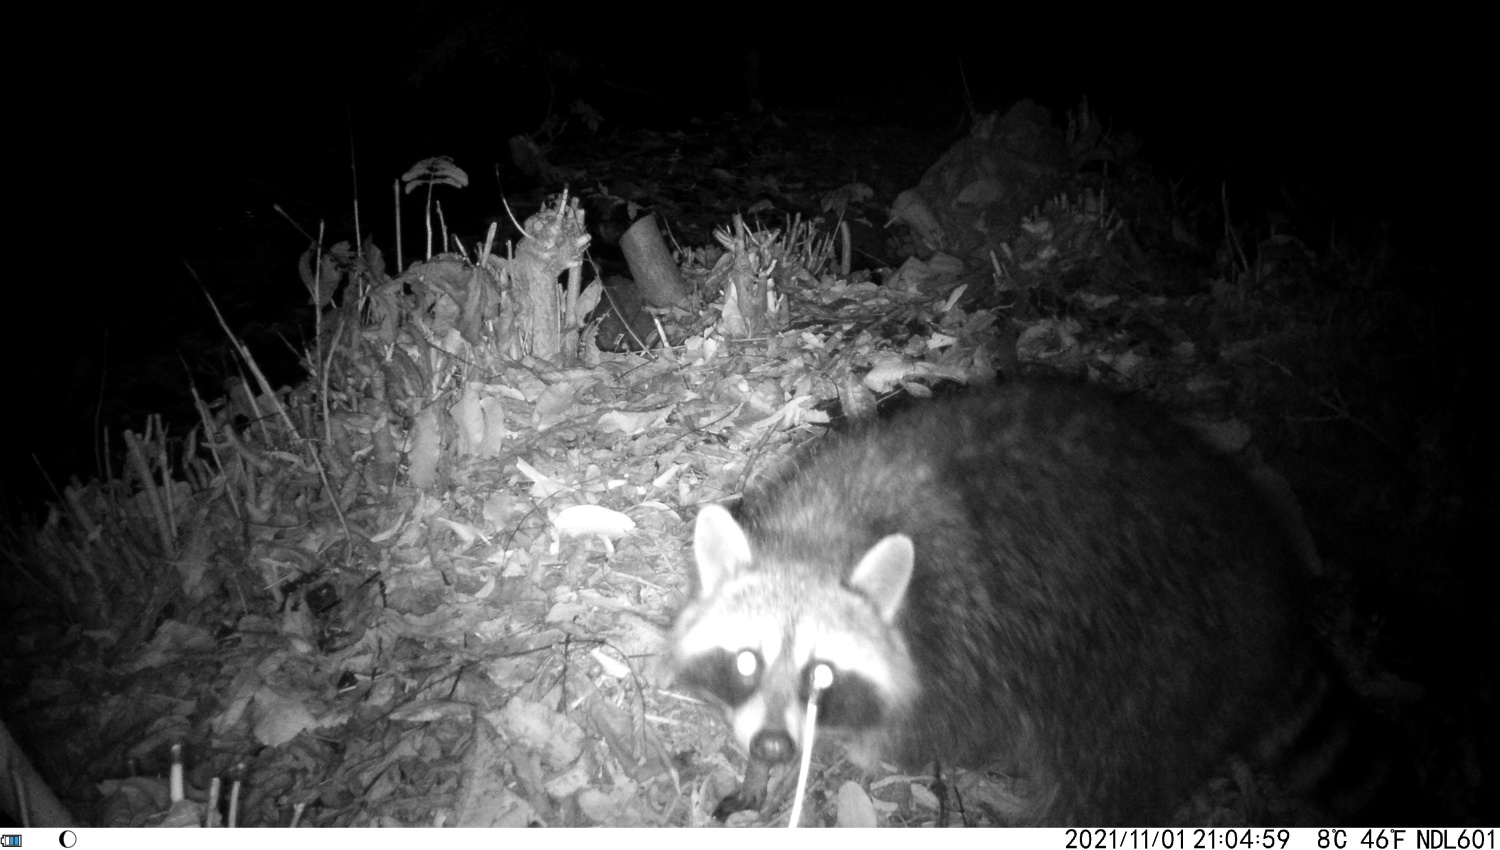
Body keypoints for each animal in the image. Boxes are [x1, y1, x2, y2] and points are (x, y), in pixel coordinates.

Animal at [669, 382, 1392, 827]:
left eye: (822, 673)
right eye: (746, 662)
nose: (771, 749)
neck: (826, 537)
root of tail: (1271, 596)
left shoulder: (964, 639)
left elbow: (919, 730)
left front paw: (838, 753)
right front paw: (759, 770)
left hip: (1159, 670)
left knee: (1106, 774)